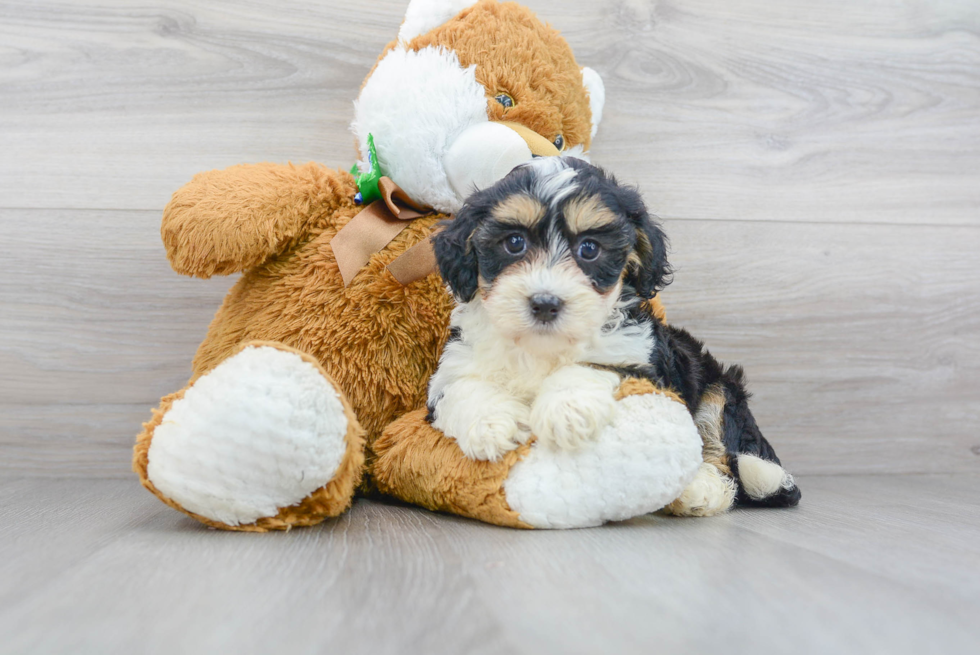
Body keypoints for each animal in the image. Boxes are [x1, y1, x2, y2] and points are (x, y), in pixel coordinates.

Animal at [428, 156, 804, 516]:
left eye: (590, 249)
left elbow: (593, 365)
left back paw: (699, 489)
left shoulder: (641, 363)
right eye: (514, 243)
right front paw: (494, 424)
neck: (543, 346)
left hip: (720, 390)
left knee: (724, 458)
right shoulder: (451, 368)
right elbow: (463, 388)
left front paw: (567, 411)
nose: (545, 303)